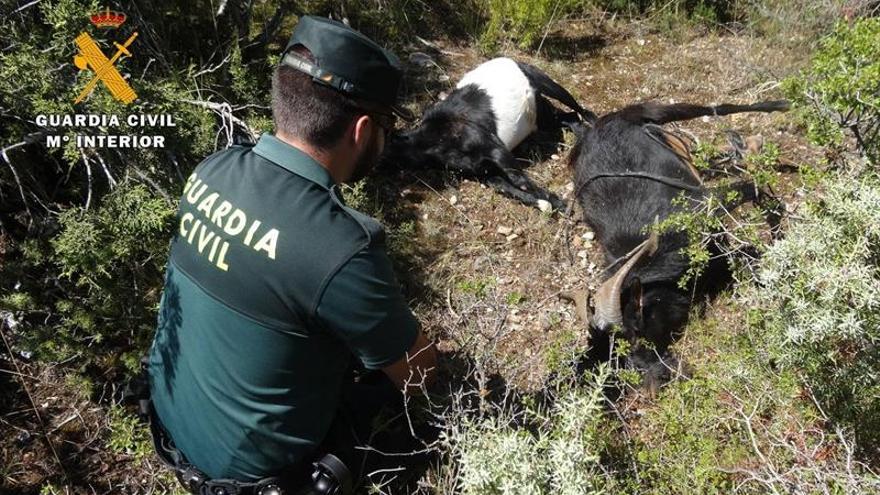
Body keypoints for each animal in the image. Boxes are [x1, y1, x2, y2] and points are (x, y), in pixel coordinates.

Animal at [382, 57, 596, 211]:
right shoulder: (485, 172)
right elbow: (508, 188)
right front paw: (545, 204)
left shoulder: (496, 150)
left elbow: (520, 180)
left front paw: (558, 203)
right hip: (543, 117)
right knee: (570, 117)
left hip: (548, 85)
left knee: (581, 110)